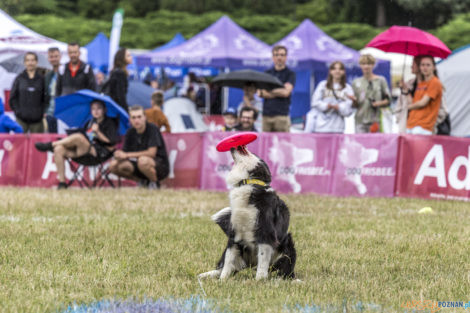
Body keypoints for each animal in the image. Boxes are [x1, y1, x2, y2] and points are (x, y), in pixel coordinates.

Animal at [199, 145, 296, 280]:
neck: (248, 183)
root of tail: (250, 264)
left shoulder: (265, 232)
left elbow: (262, 261)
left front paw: (259, 280)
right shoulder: (234, 233)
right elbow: (228, 260)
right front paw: (222, 280)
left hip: (288, 244)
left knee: (284, 269)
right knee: (227, 265)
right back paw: (207, 275)